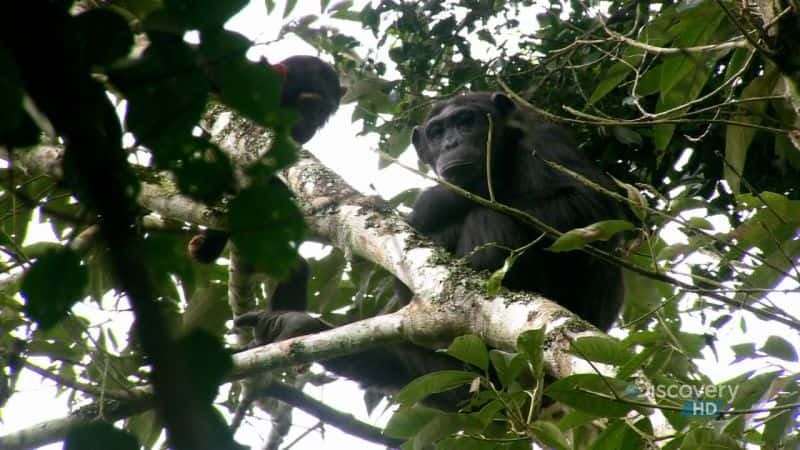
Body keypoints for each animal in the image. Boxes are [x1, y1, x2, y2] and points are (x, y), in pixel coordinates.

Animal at [234, 91, 628, 408]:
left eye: (466, 121)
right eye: (437, 132)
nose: (452, 143)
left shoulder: (547, 140)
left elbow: (589, 205)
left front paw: (445, 197)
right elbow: (405, 280)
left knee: (492, 218)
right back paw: (296, 326)